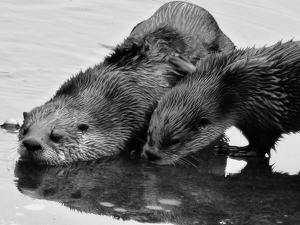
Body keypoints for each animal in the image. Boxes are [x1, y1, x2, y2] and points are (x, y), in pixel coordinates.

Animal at [142, 40, 300, 164]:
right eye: (149, 132)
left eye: (175, 141)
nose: (151, 154)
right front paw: (180, 63)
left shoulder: (266, 117)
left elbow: (260, 147)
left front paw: (235, 150)